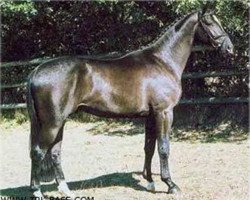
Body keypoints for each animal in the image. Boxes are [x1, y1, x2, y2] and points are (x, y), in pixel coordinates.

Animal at [28, 7, 233, 197]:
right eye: (209, 22)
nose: (230, 47)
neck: (163, 61)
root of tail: (35, 72)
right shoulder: (164, 113)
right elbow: (164, 147)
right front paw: (170, 185)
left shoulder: (150, 116)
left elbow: (149, 147)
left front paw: (150, 182)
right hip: (52, 124)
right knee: (38, 152)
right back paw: (37, 192)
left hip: (59, 123)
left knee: (55, 153)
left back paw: (65, 190)